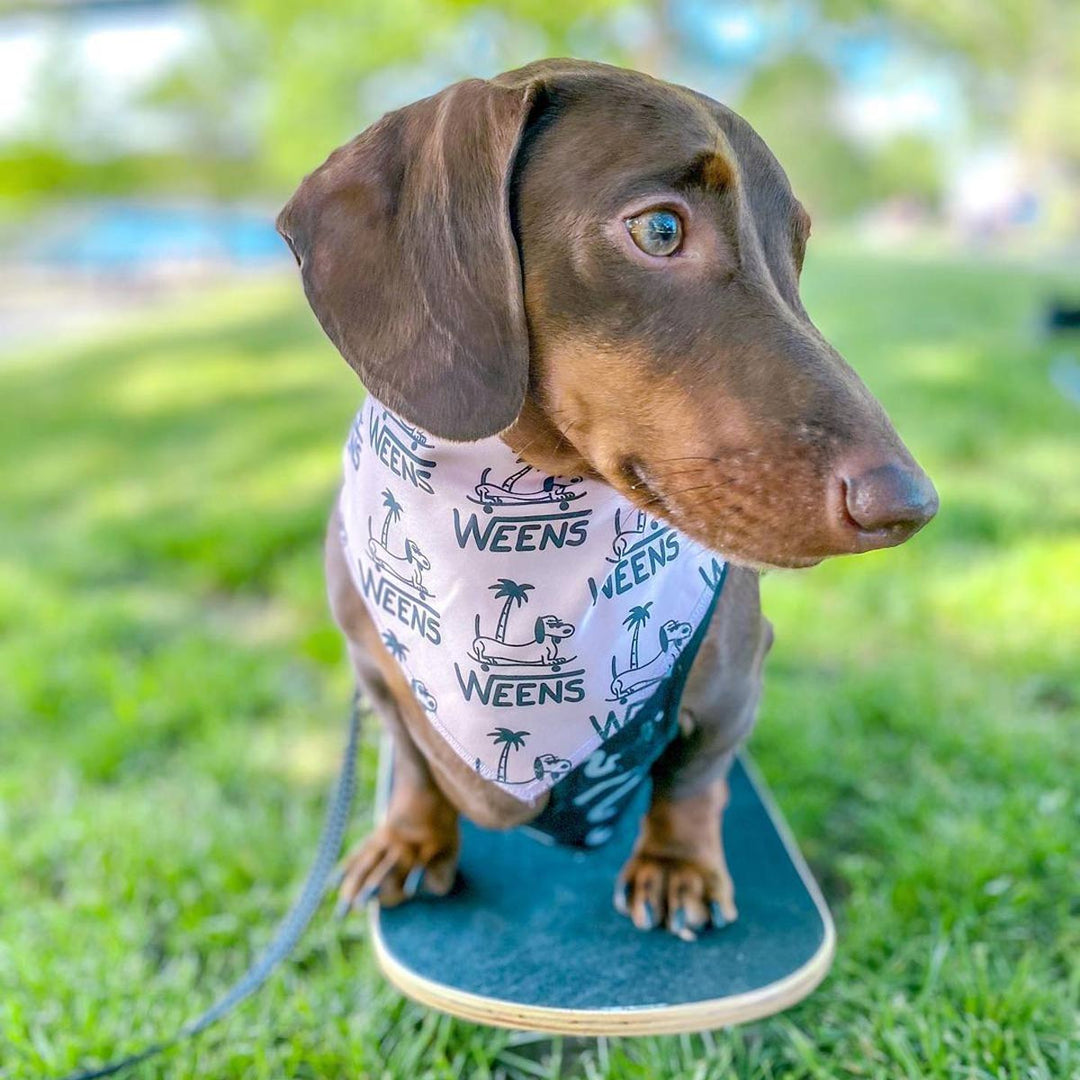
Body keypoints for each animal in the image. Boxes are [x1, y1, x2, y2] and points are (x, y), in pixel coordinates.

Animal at [280, 56, 937, 937]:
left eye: (795, 251)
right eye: (659, 230)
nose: (909, 504)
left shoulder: (736, 684)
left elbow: (695, 780)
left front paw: (677, 862)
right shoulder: (374, 676)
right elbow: (414, 764)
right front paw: (411, 839)